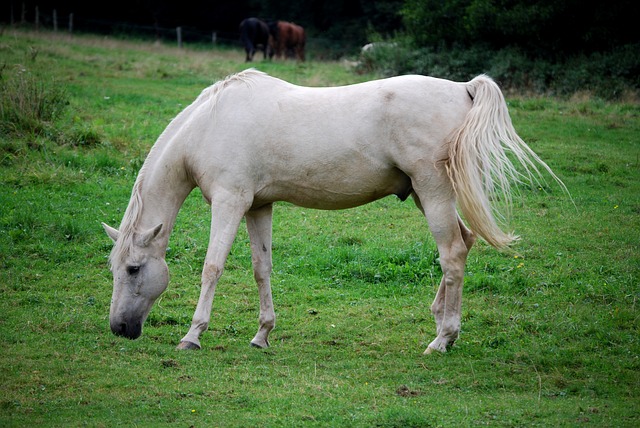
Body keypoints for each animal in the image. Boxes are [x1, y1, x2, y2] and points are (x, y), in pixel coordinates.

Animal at [102, 67, 564, 354]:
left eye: (133, 269)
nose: (119, 329)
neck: (211, 122)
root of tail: (464, 88)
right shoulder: (258, 206)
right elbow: (261, 269)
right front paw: (262, 335)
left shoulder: (230, 202)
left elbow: (212, 268)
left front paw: (193, 336)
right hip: (424, 194)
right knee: (464, 244)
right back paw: (440, 326)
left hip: (433, 192)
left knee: (451, 254)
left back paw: (442, 340)